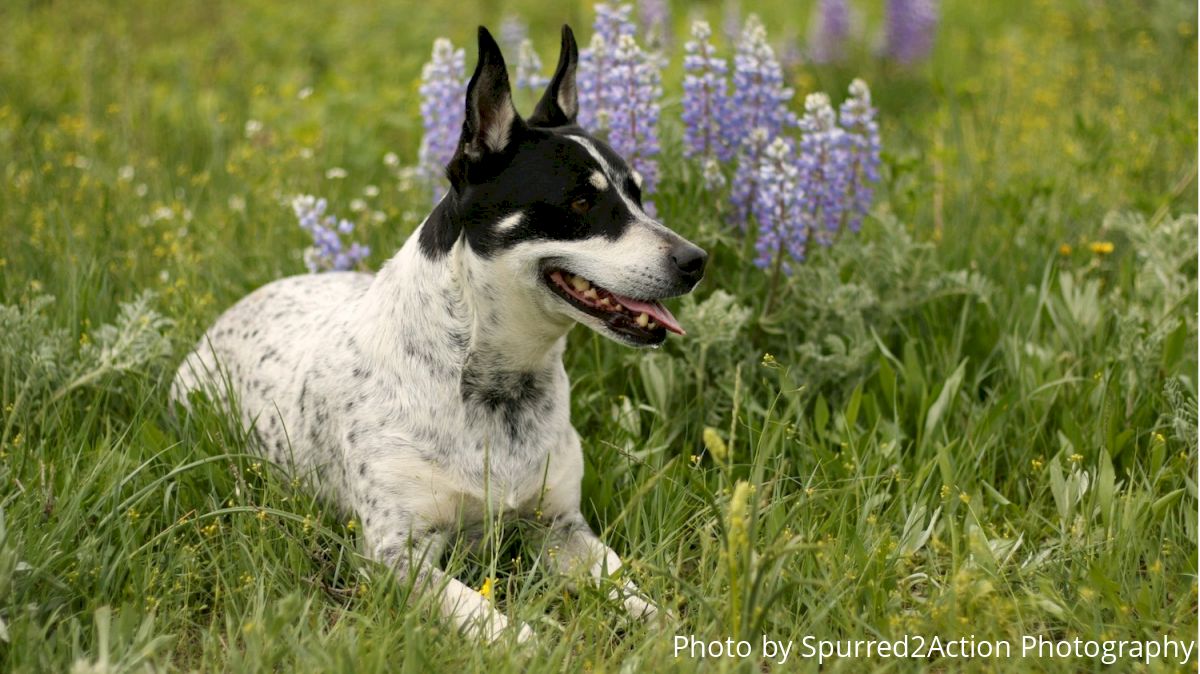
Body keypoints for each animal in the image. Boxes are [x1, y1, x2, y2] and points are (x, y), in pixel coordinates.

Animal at [174, 26, 705, 638]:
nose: (697, 260)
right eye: (579, 201)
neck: (493, 384)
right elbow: (491, 619)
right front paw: (531, 643)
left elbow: (640, 599)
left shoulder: (562, 528)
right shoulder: (397, 555)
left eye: (637, 195)